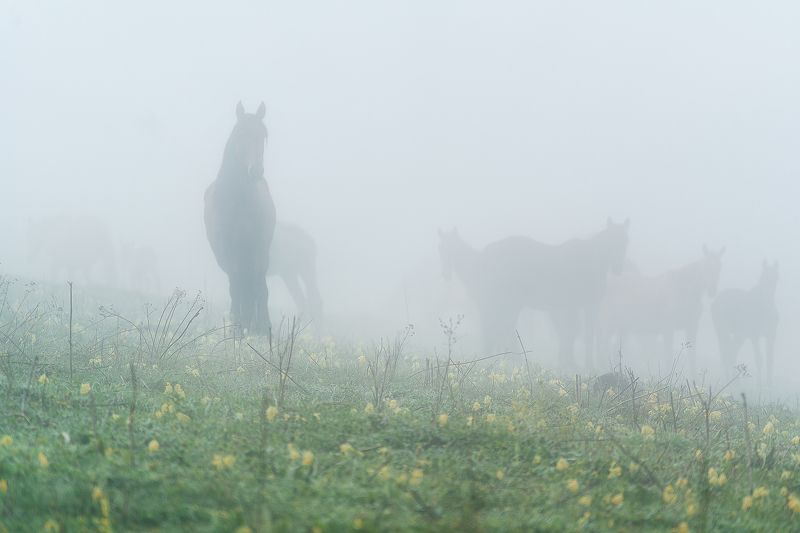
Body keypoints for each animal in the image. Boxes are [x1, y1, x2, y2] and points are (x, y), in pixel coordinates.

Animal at [205, 102, 276, 334]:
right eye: (240, 133)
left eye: (263, 136)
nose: (256, 170)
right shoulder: (228, 250)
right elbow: (237, 287)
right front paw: (237, 329)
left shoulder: (259, 248)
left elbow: (259, 288)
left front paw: (263, 327)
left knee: (255, 285)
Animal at [438, 218, 632, 368]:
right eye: (440, 248)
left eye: (625, 242)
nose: (618, 269)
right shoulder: (581, 306)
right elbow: (576, 334)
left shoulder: (580, 307)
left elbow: (574, 334)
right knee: (502, 327)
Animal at [592, 244, 724, 366]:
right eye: (706, 267)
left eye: (719, 268)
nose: (712, 290)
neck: (683, 290)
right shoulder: (668, 329)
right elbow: (668, 358)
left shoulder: (691, 327)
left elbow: (692, 359)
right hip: (608, 325)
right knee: (603, 348)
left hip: (623, 328)